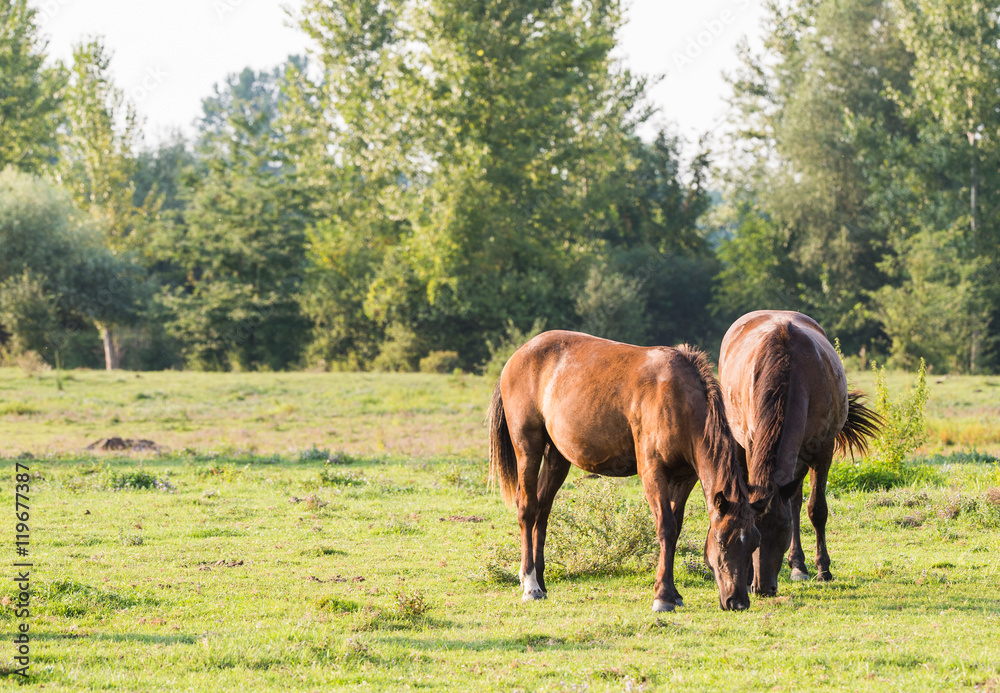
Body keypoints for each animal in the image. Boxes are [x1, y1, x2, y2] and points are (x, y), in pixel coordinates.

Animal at [490, 330, 756, 612]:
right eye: (722, 541)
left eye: (754, 542)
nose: (738, 601)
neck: (679, 399)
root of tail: (519, 354)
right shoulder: (652, 472)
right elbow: (666, 527)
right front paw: (662, 596)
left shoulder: (685, 478)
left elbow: (676, 528)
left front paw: (673, 593)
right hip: (528, 448)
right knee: (527, 509)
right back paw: (530, 584)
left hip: (557, 457)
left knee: (542, 510)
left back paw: (541, 583)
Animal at [720, 310, 876, 592]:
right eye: (753, 532)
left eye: (783, 530)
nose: (763, 587)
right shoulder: (751, 443)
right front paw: (746, 578)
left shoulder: (823, 449)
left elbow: (816, 508)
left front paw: (823, 569)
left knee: (794, 500)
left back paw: (798, 566)